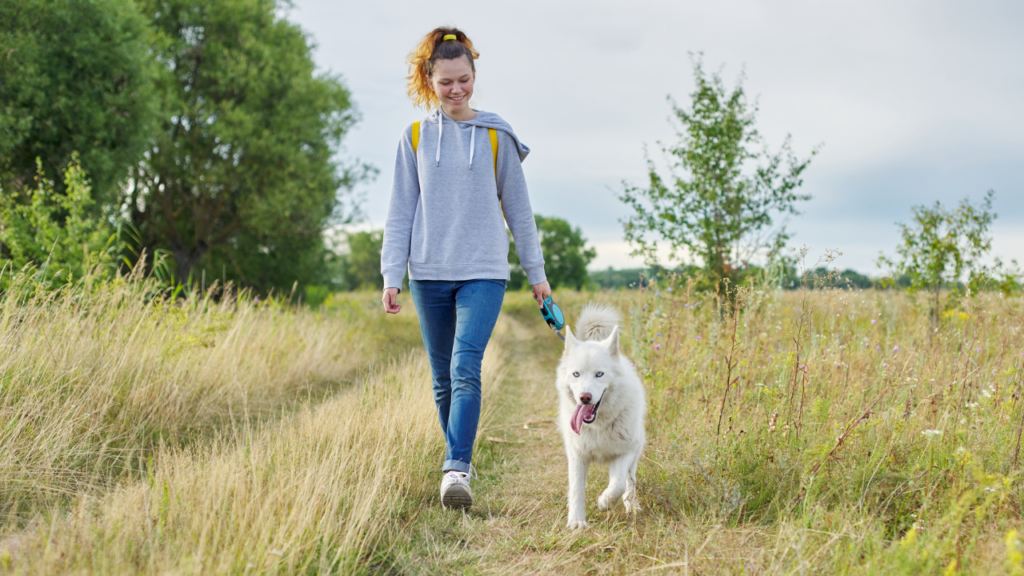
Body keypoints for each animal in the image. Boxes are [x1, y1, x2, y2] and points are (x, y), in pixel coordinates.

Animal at [557, 303, 643, 528]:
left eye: (599, 374)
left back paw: (632, 505)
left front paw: (604, 503)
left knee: (630, 481)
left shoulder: (624, 453)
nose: (585, 397)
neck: (598, 426)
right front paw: (577, 522)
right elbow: (577, 490)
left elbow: (618, 485)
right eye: (576, 374)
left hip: (636, 451)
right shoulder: (577, 456)